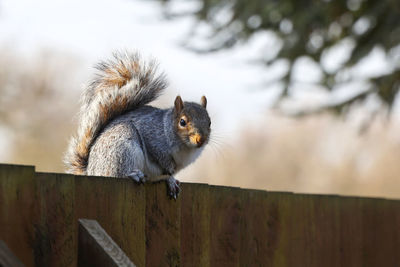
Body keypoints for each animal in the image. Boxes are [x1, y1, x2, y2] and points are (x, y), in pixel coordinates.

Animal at [64, 51, 211, 199]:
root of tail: (91, 170)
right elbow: (159, 156)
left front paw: (171, 180)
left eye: (210, 122)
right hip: (121, 150)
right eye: (182, 122)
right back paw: (133, 174)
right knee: (118, 173)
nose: (201, 139)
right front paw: (169, 170)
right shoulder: (152, 136)